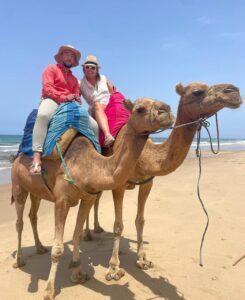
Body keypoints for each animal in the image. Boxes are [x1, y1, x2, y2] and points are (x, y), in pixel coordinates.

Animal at [11, 98, 174, 300]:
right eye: (140, 109)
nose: (166, 110)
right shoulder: (63, 200)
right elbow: (59, 247)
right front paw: (49, 291)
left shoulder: (136, 185)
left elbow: (78, 235)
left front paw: (78, 273)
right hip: (18, 186)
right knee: (19, 222)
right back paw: (19, 260)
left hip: (36, 192)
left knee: (33, 215)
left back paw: (43, 247)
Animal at [84, 82, 241, 282]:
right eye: (197, 91)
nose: (233, 91)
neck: (144, 156)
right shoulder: (119, 184)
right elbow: (118, 225)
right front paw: (113, 269)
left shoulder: (147, 183)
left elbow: (140, 220)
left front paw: (143, 259)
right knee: (91, 199)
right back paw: (88, 234)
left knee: (95, 200)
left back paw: (97, 229)